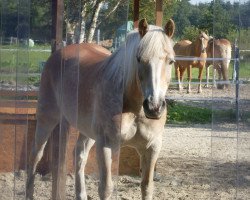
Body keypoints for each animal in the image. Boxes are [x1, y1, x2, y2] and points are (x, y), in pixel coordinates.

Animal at [24, 18, 175, 199]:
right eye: (139, 59)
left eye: (171, 61)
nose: (154, 107)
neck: (134, 108)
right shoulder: (105, 144)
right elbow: (106, 187)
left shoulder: (152, 147)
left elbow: (147, 186)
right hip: (47, 119)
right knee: (35, 155)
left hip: (87, 131)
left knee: (79, 154)